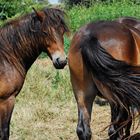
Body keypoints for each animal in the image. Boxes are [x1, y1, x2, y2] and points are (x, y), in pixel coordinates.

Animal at [0, 7, 69, 139]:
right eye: (45, 32)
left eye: (62, 31)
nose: (61, 61)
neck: (6, 58)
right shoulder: (6, 101)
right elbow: (4, 132)